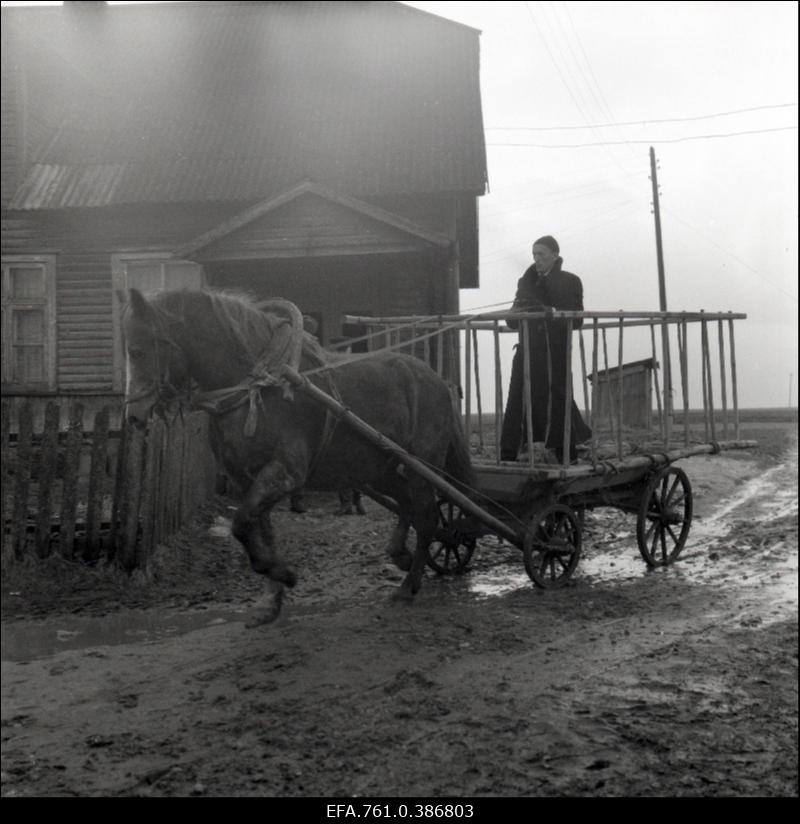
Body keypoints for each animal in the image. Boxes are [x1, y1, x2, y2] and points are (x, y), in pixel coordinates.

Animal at [120, 286, 476, 620]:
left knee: (426, 517)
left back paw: (408, 586)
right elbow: (261, 530)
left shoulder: (286, 472)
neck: (257, 386)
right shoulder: (249, 479)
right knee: (407, 505)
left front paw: (283, 574)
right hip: (382, 468)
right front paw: (272, 600)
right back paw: (399, 555)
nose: (133, 416)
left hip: (420, 466)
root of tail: (436, 379)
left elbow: (241, 523)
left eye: (137, 350)